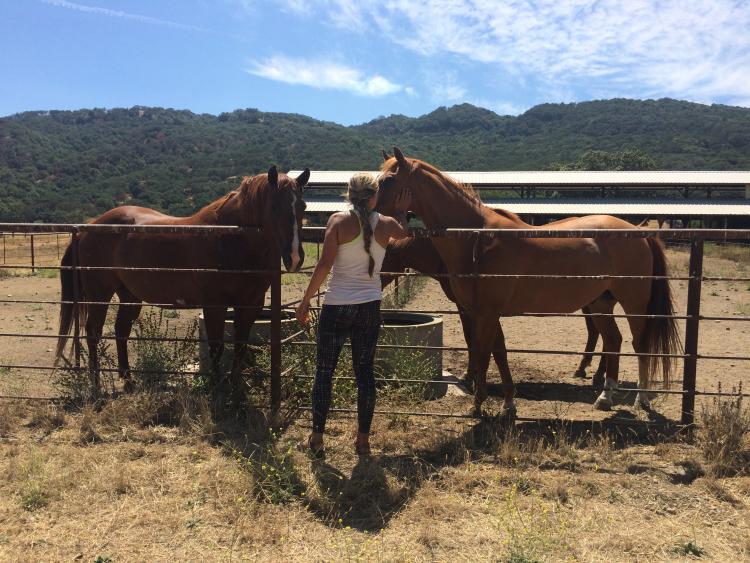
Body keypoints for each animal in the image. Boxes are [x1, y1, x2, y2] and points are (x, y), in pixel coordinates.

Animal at [55, 167, 308, 396]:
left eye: (302, 206)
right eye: (274, 207)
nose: (295, 258)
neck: (230, 238)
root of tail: (88, 227)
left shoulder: (250, 304)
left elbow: (241, 345)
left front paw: (235, 387)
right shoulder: (214, 305)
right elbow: (216, 347)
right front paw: (215, 387)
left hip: (129, 295)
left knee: (121, 331)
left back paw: (128, 382)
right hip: (100, 294)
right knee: (93, 333)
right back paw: (95, 385)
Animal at [382, 235, 612, 388]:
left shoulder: (468, 308)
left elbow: (471, 339)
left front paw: (470, 376)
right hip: (594, 302)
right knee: (599, 334)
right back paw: (591, 372)